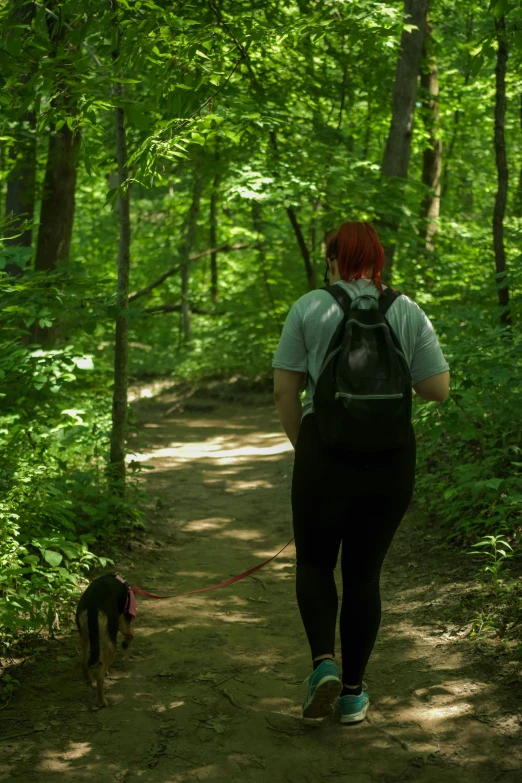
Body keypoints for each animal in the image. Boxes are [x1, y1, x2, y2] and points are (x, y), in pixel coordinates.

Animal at [76, 572, 136, 708]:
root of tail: (92, 606)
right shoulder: (123, 620)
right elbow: (132, 634)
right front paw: (125, 644)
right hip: (111, 643)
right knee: (100, 678)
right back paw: (101, 701)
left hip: (85, 637)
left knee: (84, 661)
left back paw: (89, 680)